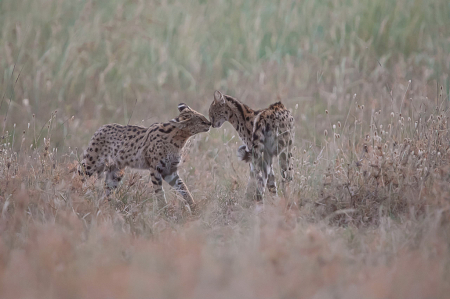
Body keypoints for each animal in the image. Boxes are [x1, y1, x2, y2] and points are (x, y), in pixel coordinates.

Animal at [78, 104, 210, 212]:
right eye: (201, 121)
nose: (209, 123)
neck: (179, 139)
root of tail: (100, 128)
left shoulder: (169, 171)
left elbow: (183, 188)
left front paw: (193, 207)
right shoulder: (156, 168)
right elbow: (159, 192)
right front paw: (164, 210)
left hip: (115, 173)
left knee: (106, 192)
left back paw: (108, 207)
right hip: (90, 164)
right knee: (78, 177)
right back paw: (75, 197)